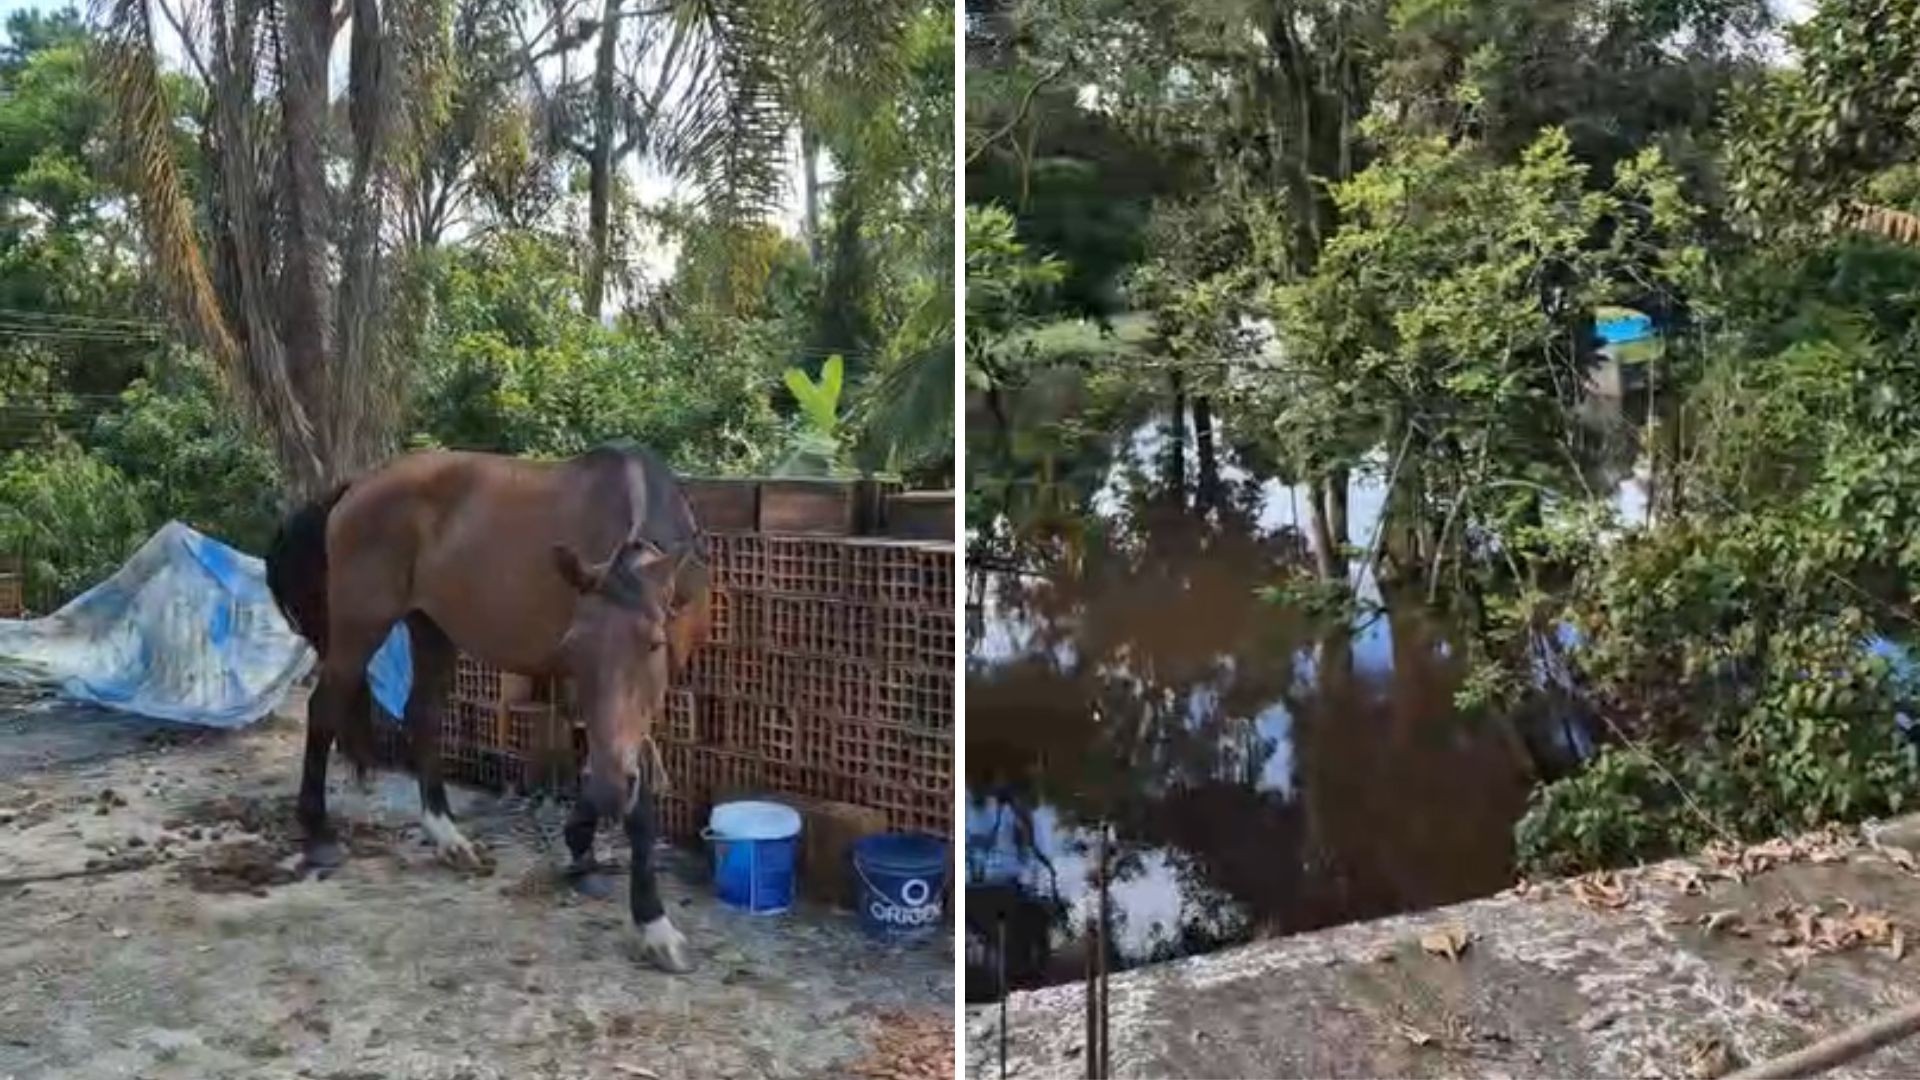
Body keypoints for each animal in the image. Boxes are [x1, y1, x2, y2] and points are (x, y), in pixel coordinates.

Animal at [264, 441, 714, 972]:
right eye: (574, 647)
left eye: (654, 644)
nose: (608, 794)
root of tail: (355, 488)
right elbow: (634, 795)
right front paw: (653, 924)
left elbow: (616, 761)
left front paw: (582, 841)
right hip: (361, 626)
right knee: (323, 709)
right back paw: (319, 835)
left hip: (431, 627)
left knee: (422, 715)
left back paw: (446, 835)